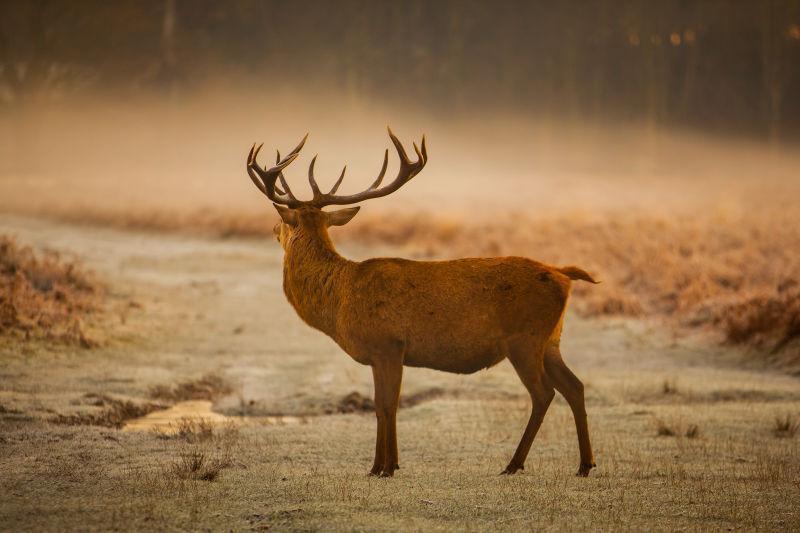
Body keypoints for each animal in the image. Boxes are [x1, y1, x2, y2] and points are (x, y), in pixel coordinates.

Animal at [247, 129, 596, 478]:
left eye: (285, 221)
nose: (273, 228)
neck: (340, 298)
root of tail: (563, 275)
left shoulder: (387, 345)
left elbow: (384, 404)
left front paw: (382, 467)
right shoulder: (387, 354)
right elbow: (386, 405)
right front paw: (388, 464)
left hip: (525, 339)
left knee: (544, 393)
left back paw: (514, 464)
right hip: (550, 340)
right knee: (575, 386)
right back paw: (585, 463)